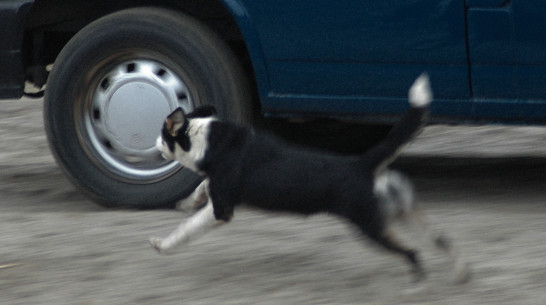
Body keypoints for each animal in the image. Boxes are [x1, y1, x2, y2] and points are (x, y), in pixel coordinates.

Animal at [149, 73, 468, 282]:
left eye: (162, 135)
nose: (153, 145)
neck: (207, 140)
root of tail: (364, 164)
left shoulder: (221, 211)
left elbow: (187, 228)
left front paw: (163, 244)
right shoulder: (217, 189)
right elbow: (201, 188)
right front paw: (188, 201)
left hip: (371, 227)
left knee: (412, 253)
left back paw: (418, 282)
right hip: (404, 215)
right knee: (443, 241)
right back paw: (460, 272)